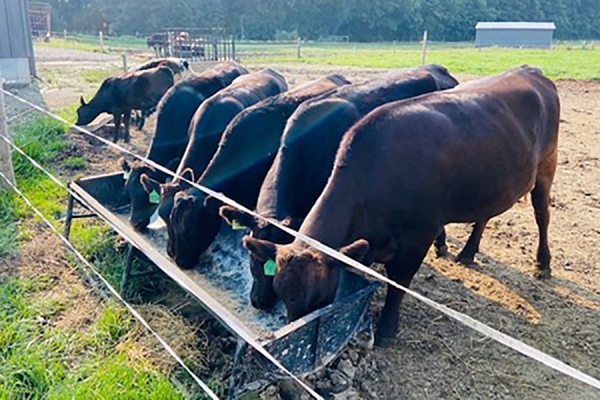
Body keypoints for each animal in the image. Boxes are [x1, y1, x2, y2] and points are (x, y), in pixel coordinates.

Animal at [241, 66, 560, 346]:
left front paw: (386, 328)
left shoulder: (419, 236)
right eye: (283, 293)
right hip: (491, 182)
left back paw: (543, 264)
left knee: (543, 215)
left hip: (546, 167)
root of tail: (529, 71)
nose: (296, 331)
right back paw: (468, 252)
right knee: (484, 216)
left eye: (319, 298)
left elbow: (399, 283)